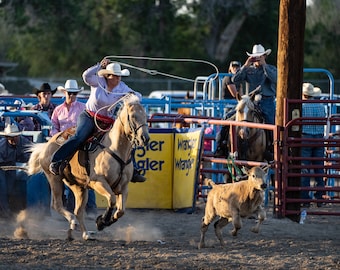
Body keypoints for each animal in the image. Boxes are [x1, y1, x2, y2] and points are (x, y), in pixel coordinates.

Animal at [26, 93, 149, 240]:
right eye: (133, 116)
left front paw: (105, 221)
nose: (145, 138)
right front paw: (101, 222)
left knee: (78, 211)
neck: (115, 148)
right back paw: (73, 222)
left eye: (146, 116)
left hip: (78, 186)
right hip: (54, 179)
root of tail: (47, 144)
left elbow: (121, 211)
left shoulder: (123, 187)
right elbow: (112, 199)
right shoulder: (98, 182)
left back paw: (84, 233)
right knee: (57, 204)